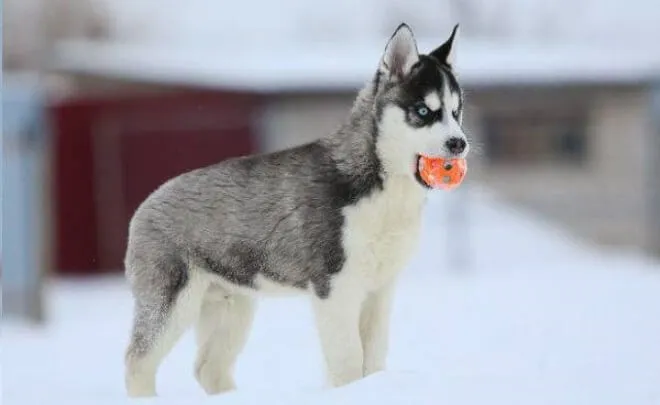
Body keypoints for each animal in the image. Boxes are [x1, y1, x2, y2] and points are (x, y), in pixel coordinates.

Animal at [124, 22, 470, 394]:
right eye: (423, 111)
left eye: (456, 111)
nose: (459, 143)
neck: (383, 189)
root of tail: (149, 200)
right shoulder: (334, 287)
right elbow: (349, 361)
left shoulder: (380, 289)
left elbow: (374, 357)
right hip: (171, 301)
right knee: (137, 361)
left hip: (232, 303)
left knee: (208, 368)